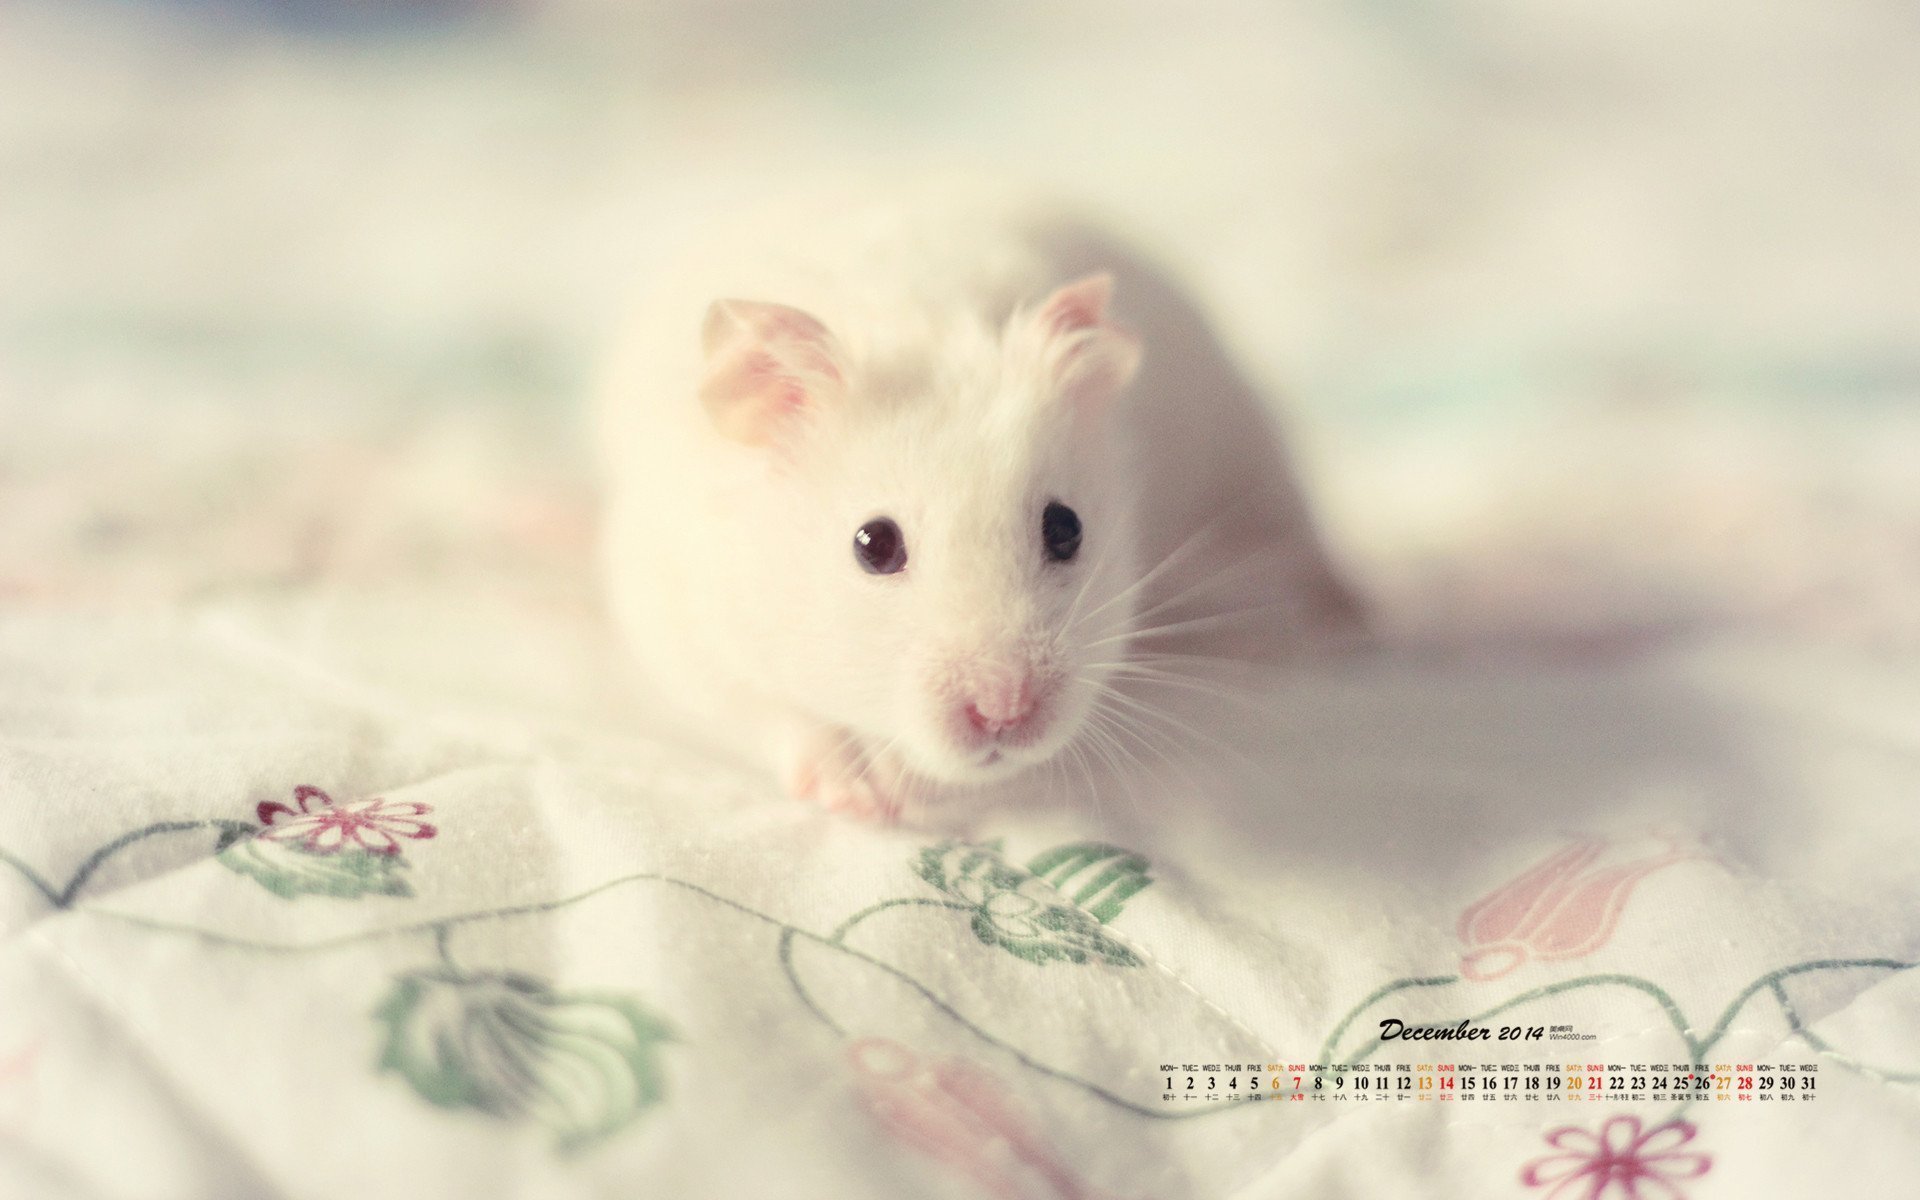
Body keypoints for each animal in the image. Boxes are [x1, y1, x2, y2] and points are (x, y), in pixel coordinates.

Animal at [596, 182, 1363, 821]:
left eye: (1066, 528)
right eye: (873, 545)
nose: (1004, 712)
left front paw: (900, 784)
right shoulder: (681, 625)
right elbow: (779, 714)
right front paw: (863, 799)